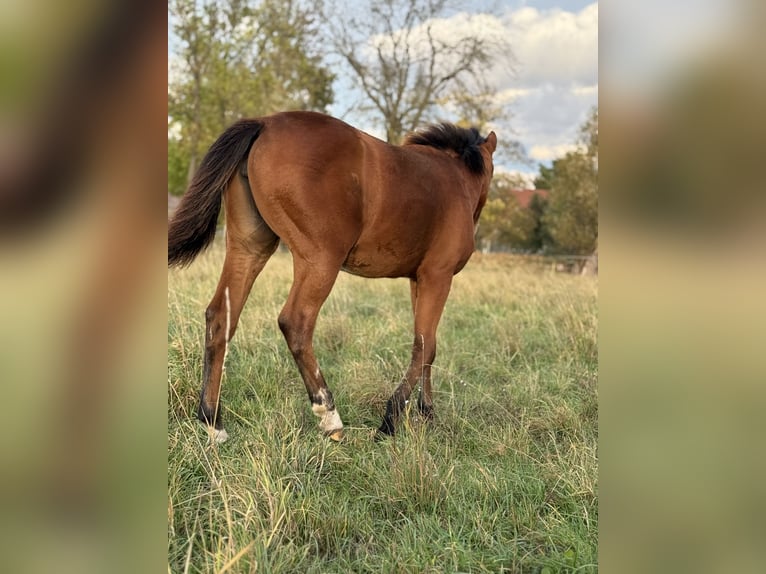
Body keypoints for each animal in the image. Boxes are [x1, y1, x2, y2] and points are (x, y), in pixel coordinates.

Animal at [168, 111, 496, 442]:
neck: (455, 179)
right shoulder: (437, 276)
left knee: (220, 318)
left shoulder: (418, 279)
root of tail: (266, 122)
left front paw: (426, 412)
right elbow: (425, 345)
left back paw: (213, 423)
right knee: (296, 322)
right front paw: (391, 419)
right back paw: (330, 416)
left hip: (249, 249)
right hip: (321, 260)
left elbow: (429, 345)